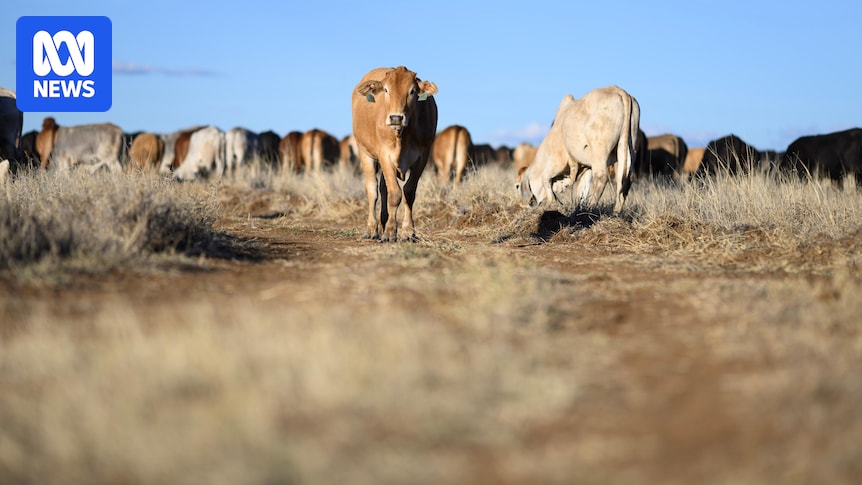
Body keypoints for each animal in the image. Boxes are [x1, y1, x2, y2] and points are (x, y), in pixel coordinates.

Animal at [351, 66, 438, 241]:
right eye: (386, 90)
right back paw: (372, 229)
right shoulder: (384, 155)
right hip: (365, 152)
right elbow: (395, 194)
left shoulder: (422, 157)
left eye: (412, 91)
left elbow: (408, 192)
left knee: (383, 188)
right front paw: (391, 232)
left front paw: (408, 231)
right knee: (372, 190)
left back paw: (383, 222)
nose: (396, 118)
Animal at [517, 86, 640, 214]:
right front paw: (578, 208)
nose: (521, 205)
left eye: (517, 186)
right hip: (627, 148)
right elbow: (582, 191)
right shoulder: (586, 167)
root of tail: (620, 91)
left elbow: (545, 179)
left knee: (601, 177)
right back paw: (616, 212)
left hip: (600, 151)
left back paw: (592, 208)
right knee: (625, 179)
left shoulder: (557, 162)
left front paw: (552, 203)